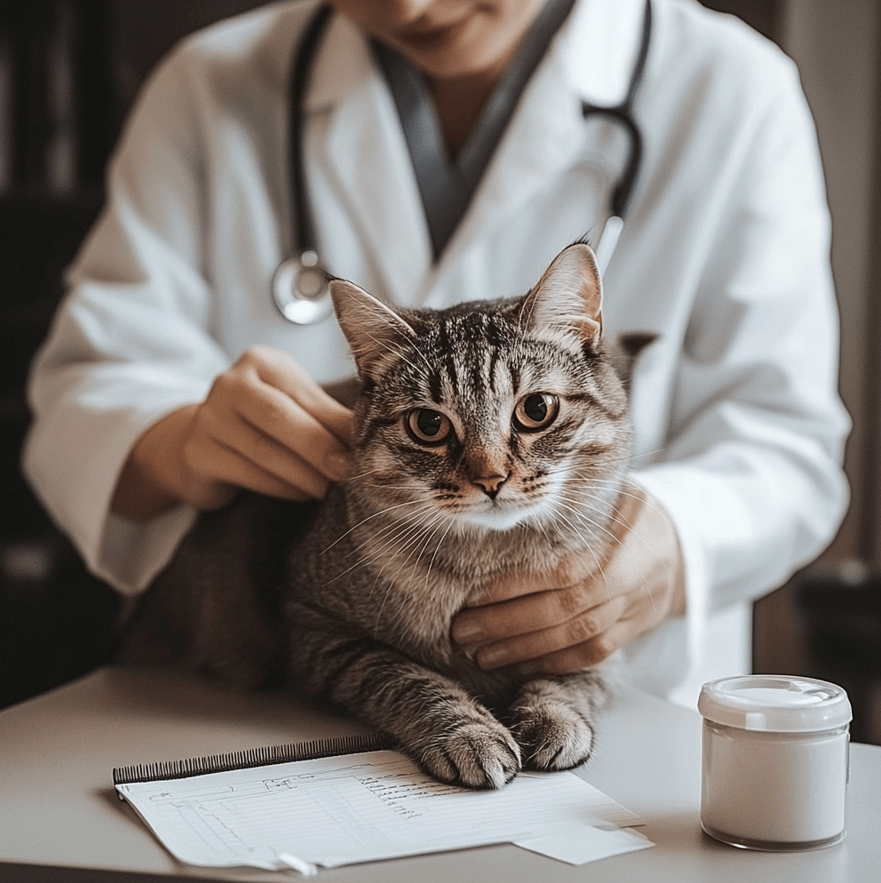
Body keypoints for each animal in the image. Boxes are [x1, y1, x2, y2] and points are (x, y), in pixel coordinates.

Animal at [120, 240, 648, 788]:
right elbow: (409, 678)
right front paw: (469, 732)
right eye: (429, 425)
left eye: (537, 409)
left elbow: (569, 676)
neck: (485, 560)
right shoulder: (318, 631)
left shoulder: (595, 629)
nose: (491, 478)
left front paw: (553, 717)